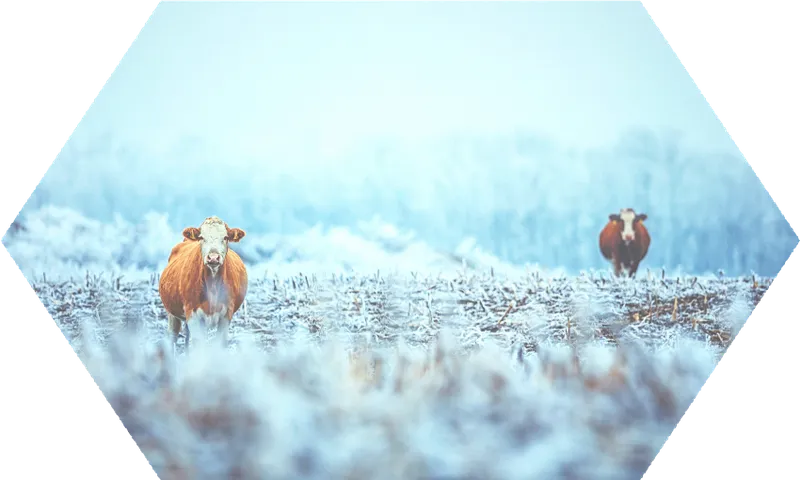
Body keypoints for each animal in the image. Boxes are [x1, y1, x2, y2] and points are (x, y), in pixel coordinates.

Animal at [158, 216, 248, 353]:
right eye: (201, 237)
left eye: (226, 237)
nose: (213, 257)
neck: (213, 287)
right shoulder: (193, 314)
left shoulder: (226, 314)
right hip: (172, 313)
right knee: (172, 336)